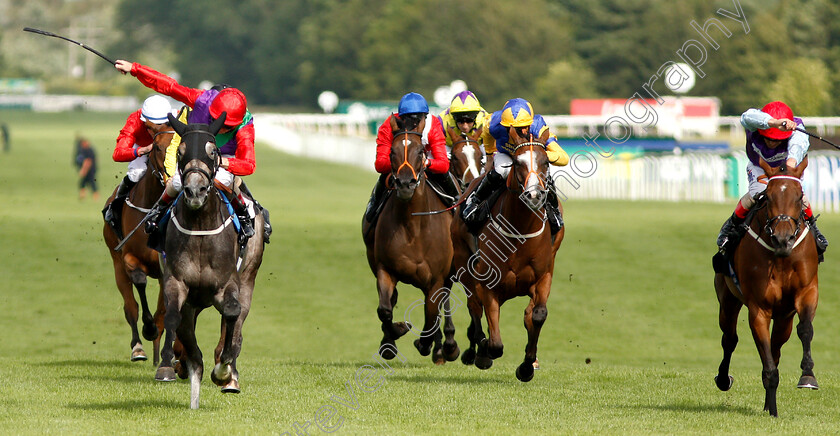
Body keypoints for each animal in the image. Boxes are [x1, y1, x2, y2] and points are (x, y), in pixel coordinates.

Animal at [102, 123, 174, 364]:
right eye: (158, 148)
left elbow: (165, 312)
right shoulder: (129, 259)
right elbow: (140, 283)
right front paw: (148, 329)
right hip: (116, 263)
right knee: (130, 307)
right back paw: (139, 348)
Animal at [155, 113, 266, 408]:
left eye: (213, 151)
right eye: (180, 151)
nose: (195, 190)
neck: (200, 230)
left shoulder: (227, 284)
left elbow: (231, 315)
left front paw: (223, 370)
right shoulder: (176, 281)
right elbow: (172, 317)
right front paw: (169, 365)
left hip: (248, 278)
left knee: (236, 324)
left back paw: (230, 377)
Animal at [362, 113, 460, 364]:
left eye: (420, 151)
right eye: (392, 152)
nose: (405, 184)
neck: (412, 227)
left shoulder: (436, 279)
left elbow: (431, 313)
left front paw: (427, 343)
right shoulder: (385, 269)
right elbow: (385, 309)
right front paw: (393, 337)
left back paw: (446, 346)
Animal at [452, 129, 564, 382]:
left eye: (546, 162)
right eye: (518, 163)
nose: (534, 195)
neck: (520, 230)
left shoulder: (544, 275)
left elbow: (538, 315)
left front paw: (527, 366)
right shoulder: (487, 284)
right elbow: (494, 344)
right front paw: (483, 352)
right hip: (463, 262)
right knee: (474, 306)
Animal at [716, 158, 820, 418]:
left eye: (799, 196)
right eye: (768, 197)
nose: (783, 239)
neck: (781, 257)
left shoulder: (807, 292)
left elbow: (805, 329)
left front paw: (807, 376)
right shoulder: (759, 309)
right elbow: (768, 366)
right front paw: (772, 410)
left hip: (783, 318)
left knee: (776, 348)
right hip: (727, 299)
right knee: (729, 338)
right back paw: (723, 379)